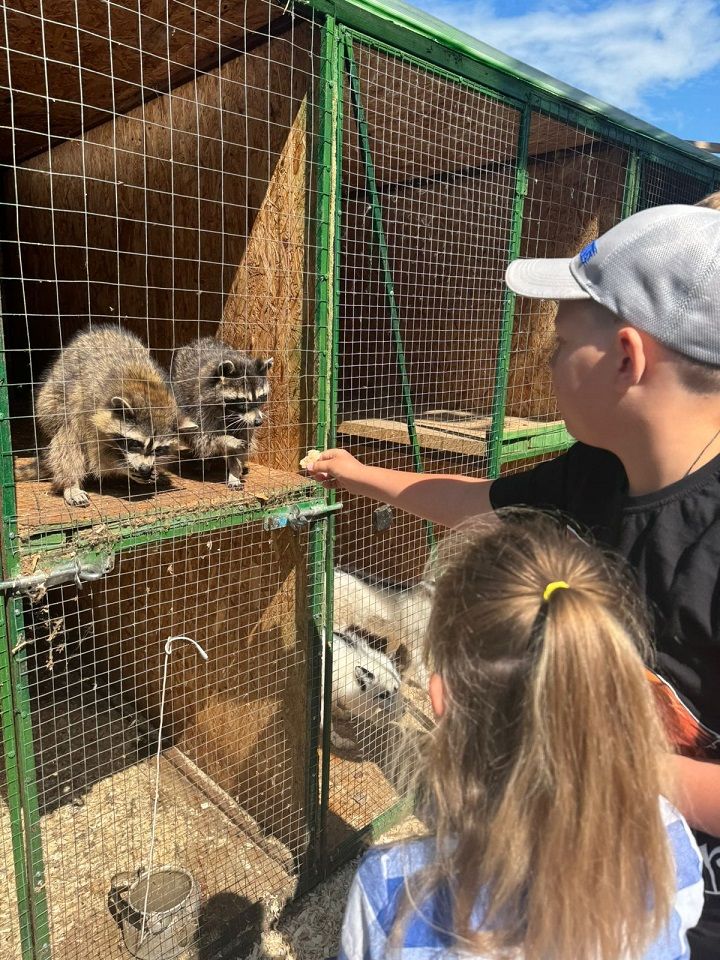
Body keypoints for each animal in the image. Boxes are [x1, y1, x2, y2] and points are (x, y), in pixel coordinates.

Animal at [35, 324, 194, 506]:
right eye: (135, 443)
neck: (143, 386)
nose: (144, 469)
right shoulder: (88, 409)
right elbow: (97, 458)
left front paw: (153, 468)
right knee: (68, 436)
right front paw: (122, 467)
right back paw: (71, 483)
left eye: (159, 449)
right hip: (50, 403)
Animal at [171, 338, 272, 488]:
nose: (258, 422)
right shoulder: (202, 407)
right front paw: (227, 440)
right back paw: (205, 461)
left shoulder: (245, 421)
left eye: (260, 398)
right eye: (243, 401)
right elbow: (206, 438)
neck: (229, 411)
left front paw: (235, 470)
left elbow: (244, 438)